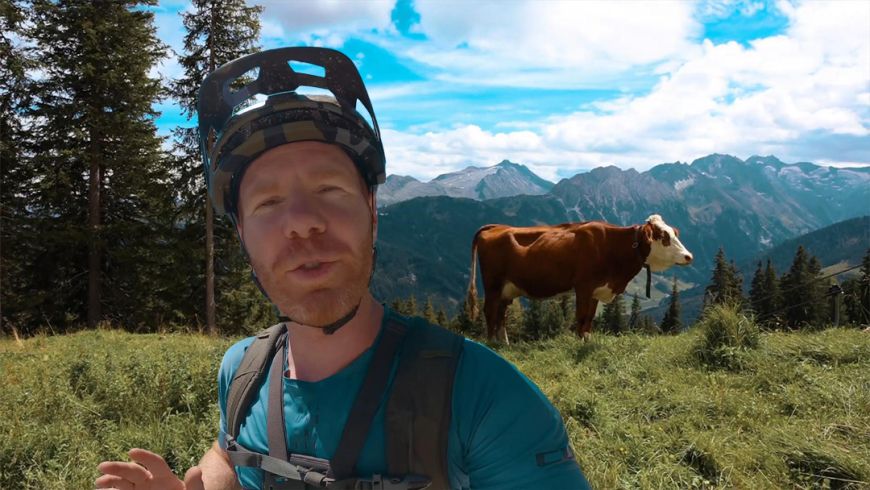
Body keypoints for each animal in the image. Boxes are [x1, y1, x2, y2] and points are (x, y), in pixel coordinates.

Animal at [466, 212, 700, 342]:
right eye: (663, 237)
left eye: (674, 233)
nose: (689, 256)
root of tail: (496, 227)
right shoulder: (583, 287)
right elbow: (580, 317)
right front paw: (578, 342)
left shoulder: (597, 290)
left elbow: (589, 319)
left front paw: (587, 340)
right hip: (493, 284)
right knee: (490, 312)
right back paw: (491, 343)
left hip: (507, 288)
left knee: (501, 315)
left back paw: (503, 343)